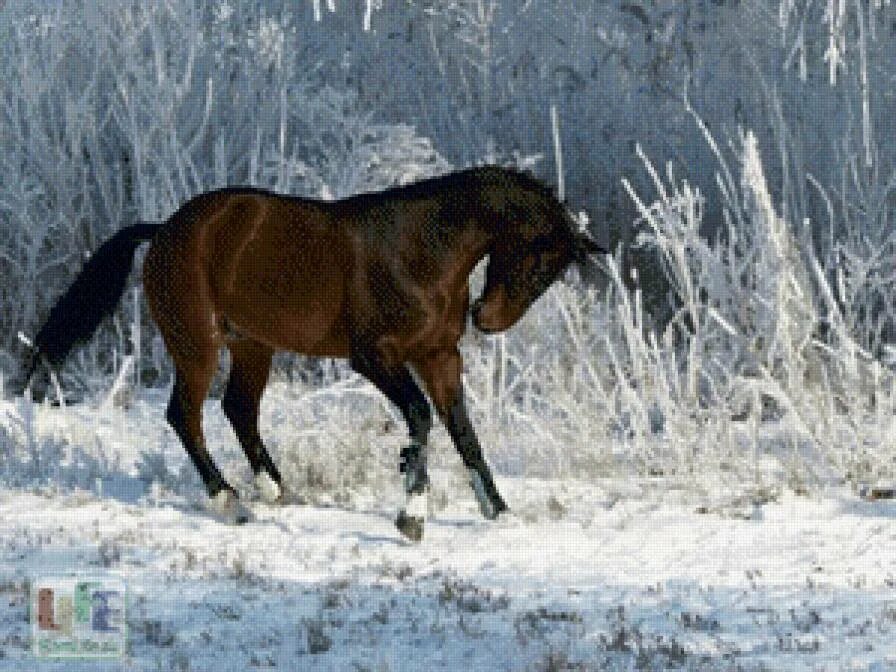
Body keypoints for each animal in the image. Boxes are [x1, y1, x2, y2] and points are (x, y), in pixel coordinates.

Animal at [21, 167, 604, 540]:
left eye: (551, 274)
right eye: (536, 259)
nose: (486, 319)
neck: (422, 251)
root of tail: (165, 229)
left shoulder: (439, 356)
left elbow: (462, 430)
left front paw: (498, 511)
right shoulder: (374, 356)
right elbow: (420, 416)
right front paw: (411, 516)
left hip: (252, 346)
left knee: (239, 410)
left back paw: (275, 491)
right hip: (197, 345)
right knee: (185, 415)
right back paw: (230, 502)